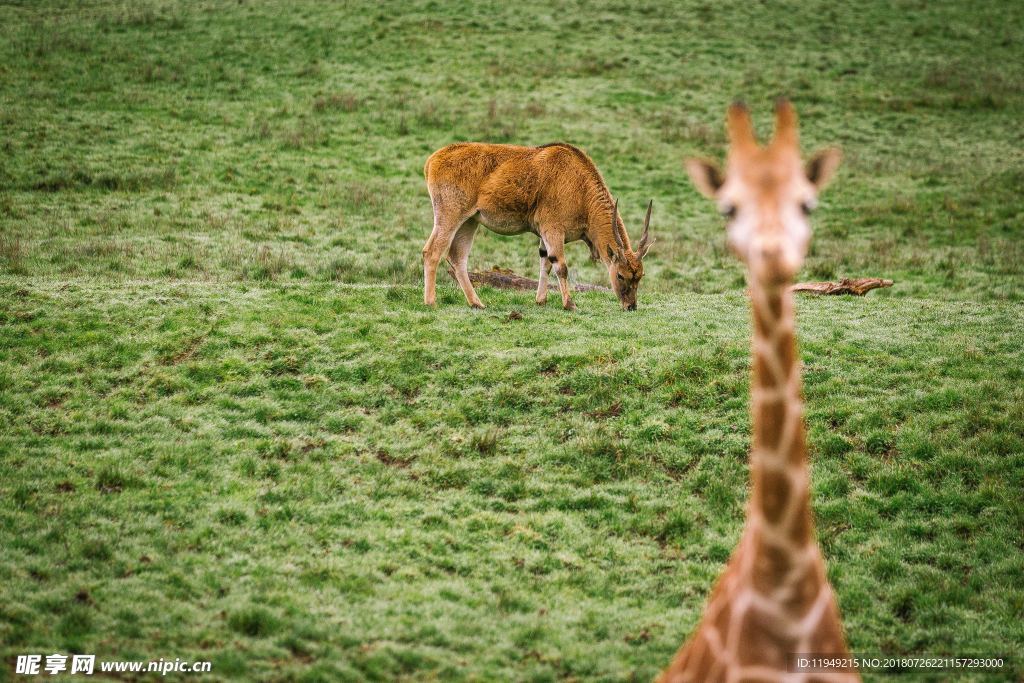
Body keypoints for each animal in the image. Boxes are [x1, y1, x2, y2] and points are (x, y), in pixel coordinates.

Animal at [419, 142, 651, 313]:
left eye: (640, 276)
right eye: (620, 275)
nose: (631, 306)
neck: (580, 187)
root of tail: (432, 160)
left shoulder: (544, 235)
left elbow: (545, 262)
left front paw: (541, 300)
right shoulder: (553, 229)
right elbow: (561, 266)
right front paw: (570, 304)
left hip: (469, 221)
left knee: (457, 257)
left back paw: (477, 303)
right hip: (449, 216)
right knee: (432, 252)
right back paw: (431, 302)